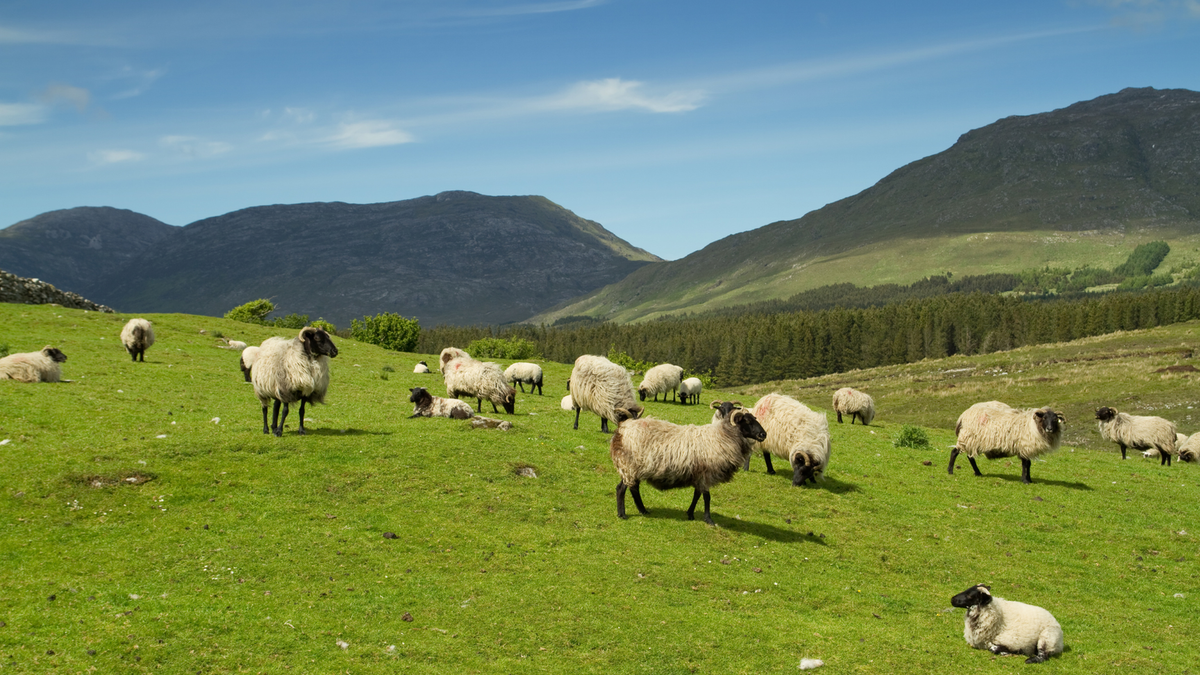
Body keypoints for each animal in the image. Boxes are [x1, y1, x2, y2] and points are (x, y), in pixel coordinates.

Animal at [610, 407, 767, 525]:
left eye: (755, 419)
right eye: (747, 421)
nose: (763, 434)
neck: (721, 437)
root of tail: (623, 427)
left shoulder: (699, 475)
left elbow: (697, 495)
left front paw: (690, 514)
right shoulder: (706, 474)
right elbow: (707, 497)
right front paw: (709, 520)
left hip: (632, 467)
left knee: (633, 488)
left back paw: (643, 510)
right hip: (629, 466)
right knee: (622, 488)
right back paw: (622, 514)